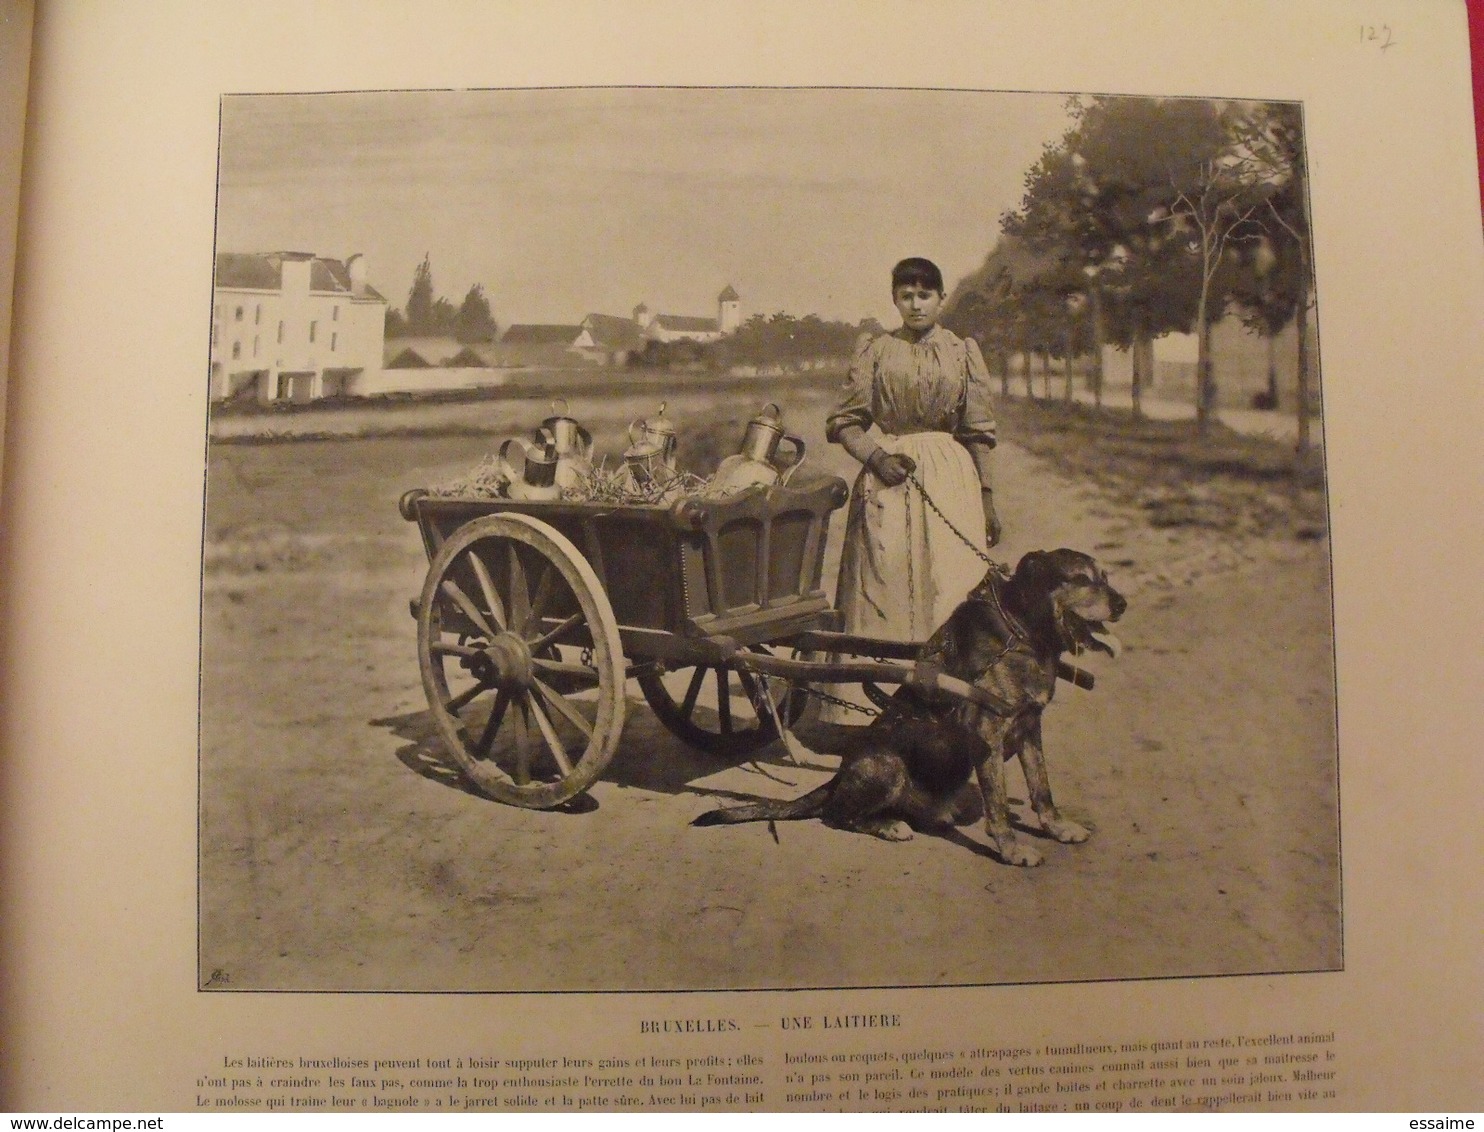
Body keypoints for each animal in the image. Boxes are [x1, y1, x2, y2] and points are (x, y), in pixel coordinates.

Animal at [694, 548, 1121, 866]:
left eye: (1105, 576)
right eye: (1082, 579)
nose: (1123, 603)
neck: (1021, 634)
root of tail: (839, 775)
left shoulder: (1031, 725)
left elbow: (1042, 788)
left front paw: (1057, 827)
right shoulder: (988, 732)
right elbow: (999, 804)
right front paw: (1012, 850)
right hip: (887, 766)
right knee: (837, 815)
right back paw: (889, 826)